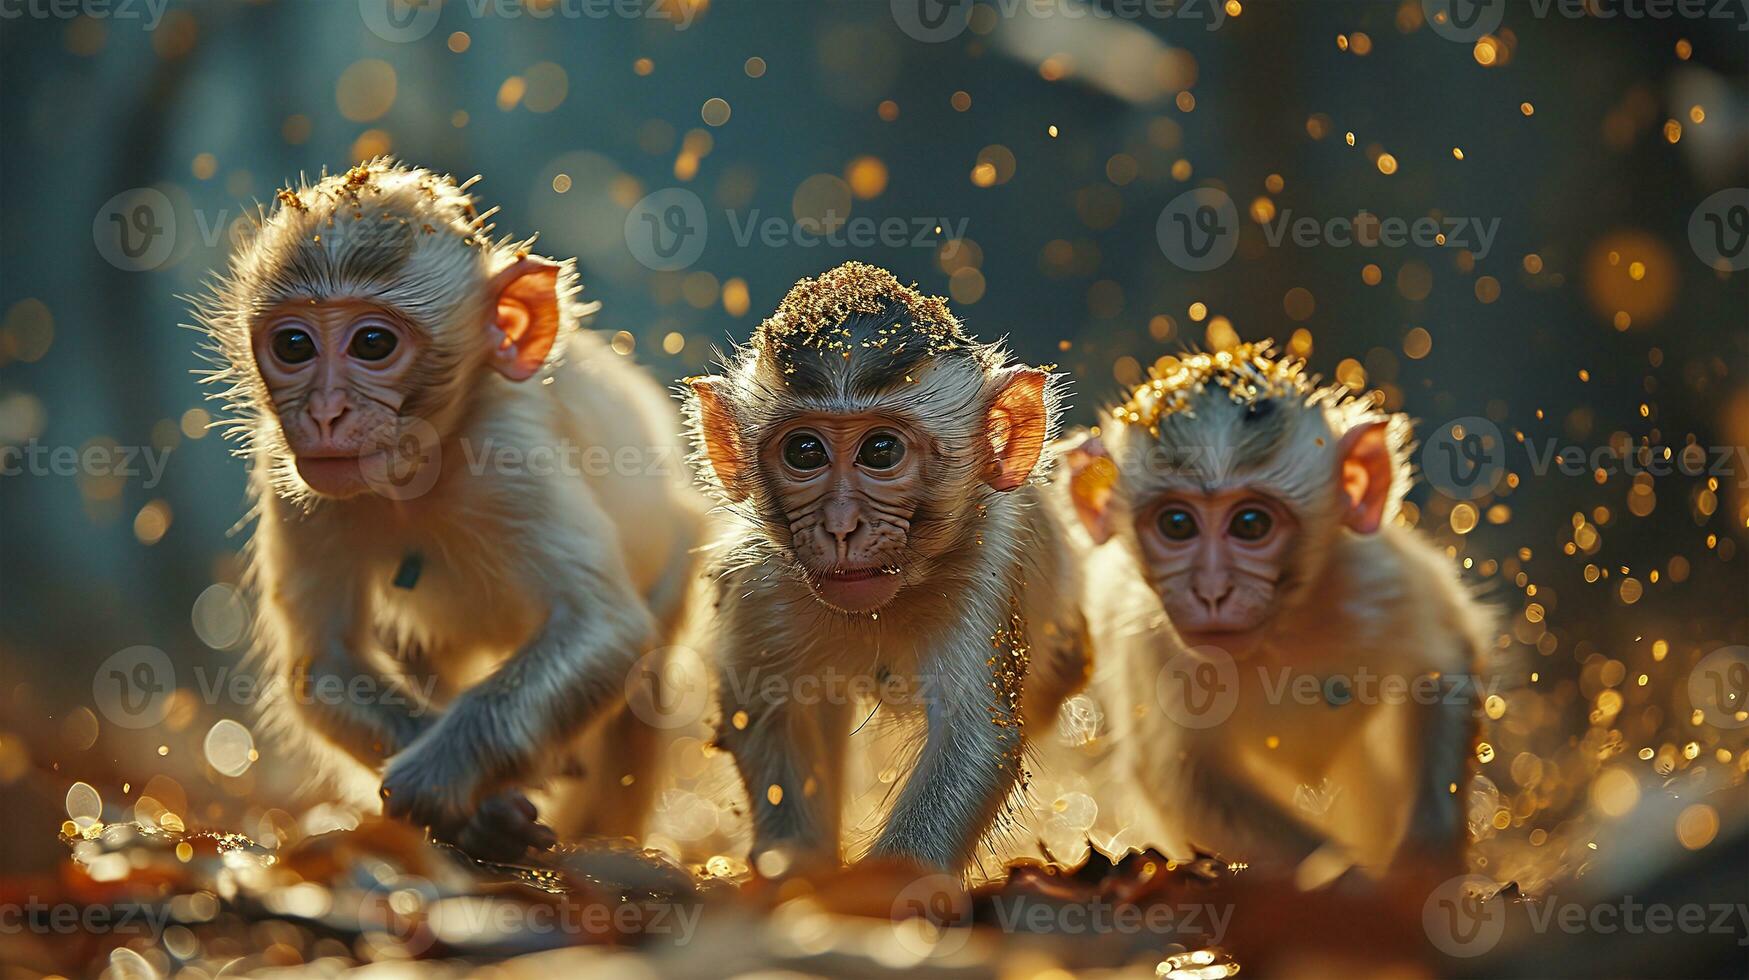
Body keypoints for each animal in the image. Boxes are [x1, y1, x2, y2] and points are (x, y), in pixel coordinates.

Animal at [678, 262, 1077, 871]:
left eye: (881, 451)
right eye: (805, 453)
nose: (841, 526)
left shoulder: (987, 563)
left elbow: (973, 737)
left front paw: (883, 885)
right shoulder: (761, 582)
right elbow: (765, 708)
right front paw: (798, 868)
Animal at [1063, 344, 1490, 882]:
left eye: (1251, 524)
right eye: (1177, 524)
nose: (1212, 592)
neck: (1279, 633)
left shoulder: (1375, 581)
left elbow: (1445, 661)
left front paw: (1424, 862)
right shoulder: (1150, 640)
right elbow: (1184, 780)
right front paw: (1352, 887)